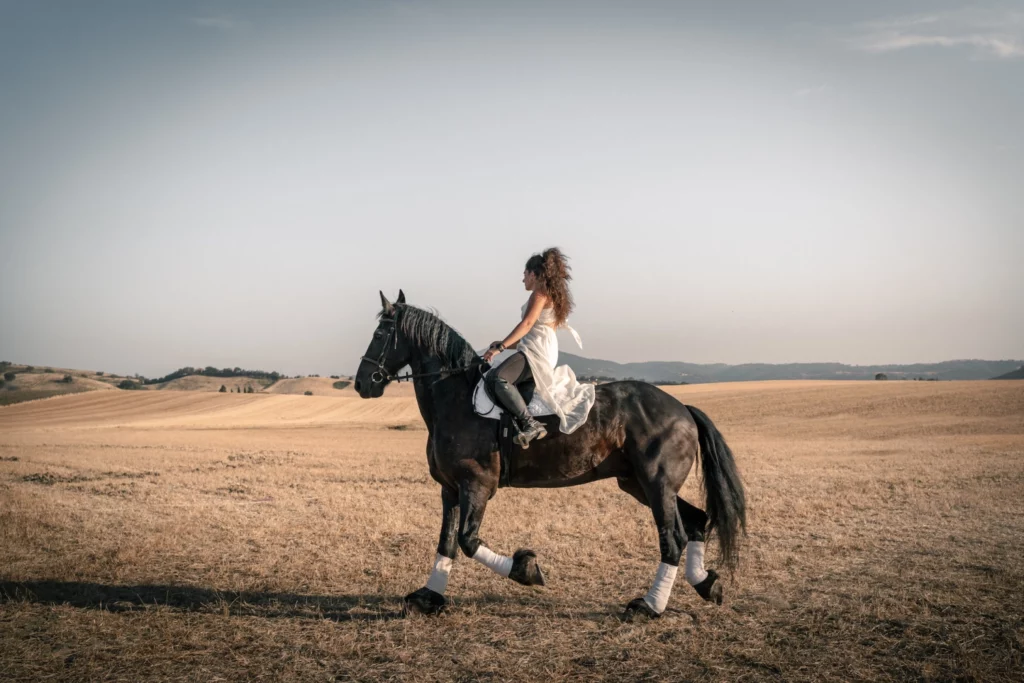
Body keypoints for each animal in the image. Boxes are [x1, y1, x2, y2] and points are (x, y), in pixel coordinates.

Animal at [354, 290, 745, 618]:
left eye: (379, 335)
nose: (361, 384)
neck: (456, 398)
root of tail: (681, 408)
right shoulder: (450, 488)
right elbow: (446, 543)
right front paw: (429, 597)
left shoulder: (476, 485)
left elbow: (467, 540)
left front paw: (526, 569)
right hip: (638, 483)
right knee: (696, 522)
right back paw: (707, 584)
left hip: (656, 483)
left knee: (673, 538)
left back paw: (649, 607)